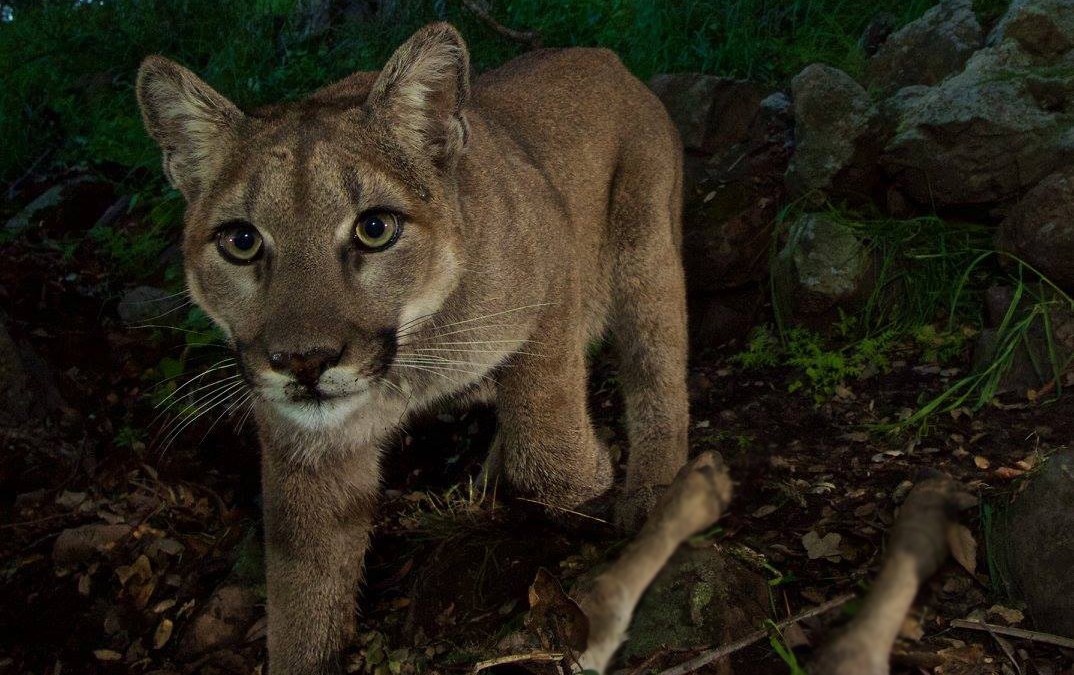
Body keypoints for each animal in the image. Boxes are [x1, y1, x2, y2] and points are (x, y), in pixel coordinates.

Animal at [136, 22, 687, 675]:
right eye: (240, 241)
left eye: (375, 229)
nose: (303, 361)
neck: (408, 363)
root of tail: (601, 55)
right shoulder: (305, 446)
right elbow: (303, 592)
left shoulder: (552, 274)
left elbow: (545, 437)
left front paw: (583, 486)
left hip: (645, 252)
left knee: (659, 371)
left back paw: (651, 494)